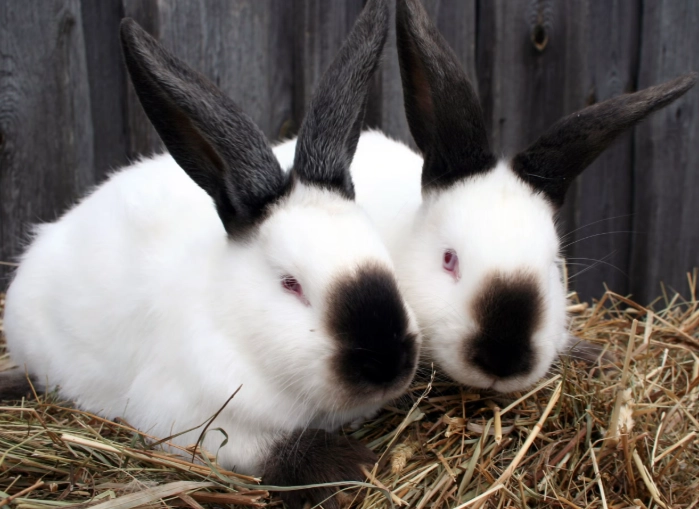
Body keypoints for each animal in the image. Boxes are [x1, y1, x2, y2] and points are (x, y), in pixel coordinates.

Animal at [2, 0, 421, 507]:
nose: (389, 362)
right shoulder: (194, 420)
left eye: (385, 258)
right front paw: (349, 467)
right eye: (291, 284)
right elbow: (269, 448)